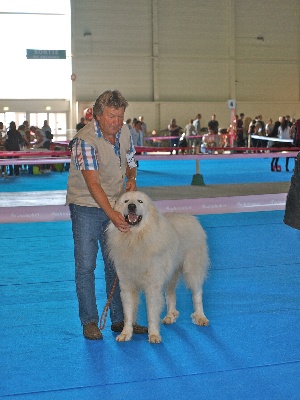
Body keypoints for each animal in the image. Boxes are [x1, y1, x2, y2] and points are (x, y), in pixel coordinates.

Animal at [106, 191, 210, 344]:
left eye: (140, 201)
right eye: (126, 201)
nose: (131, 206)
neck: (136, 238)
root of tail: (191, 217)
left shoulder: (152, 285)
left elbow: (151, 312)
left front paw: (154, 334)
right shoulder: (127, 285)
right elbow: (128, 313)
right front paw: (126, 333)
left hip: (192, 268)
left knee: (197, 293)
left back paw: (201, 317)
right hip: (171, 273)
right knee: (171, 293)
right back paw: (170, 316)